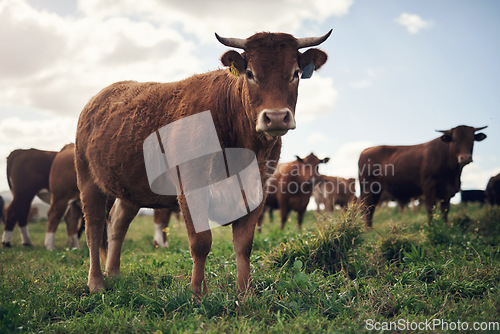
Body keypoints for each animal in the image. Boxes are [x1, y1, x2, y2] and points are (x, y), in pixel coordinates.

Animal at [74, 30, 332, 294]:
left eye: (295, 73)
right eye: (250, 73)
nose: (277, 117)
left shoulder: (256, 190)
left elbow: (244, 244)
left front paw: (246, 292)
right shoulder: (190, 189)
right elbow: (201, 242)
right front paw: (198, 292)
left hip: (130, 189)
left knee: (117, 223)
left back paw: (114, 273)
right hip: (88, 181)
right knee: (94, 228)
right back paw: (96, 282)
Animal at [358, 125, 490, 227]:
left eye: (471, 140)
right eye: (455, 140)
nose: (465, 158)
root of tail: (366, 150)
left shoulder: (447, 190)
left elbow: (445, 210)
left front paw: (446, 227)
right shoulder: (429, 185)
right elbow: (430, 208)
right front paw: (431, 227)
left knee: (371, 208)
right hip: (369, 188)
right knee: (367, 208)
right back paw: (368, 230)